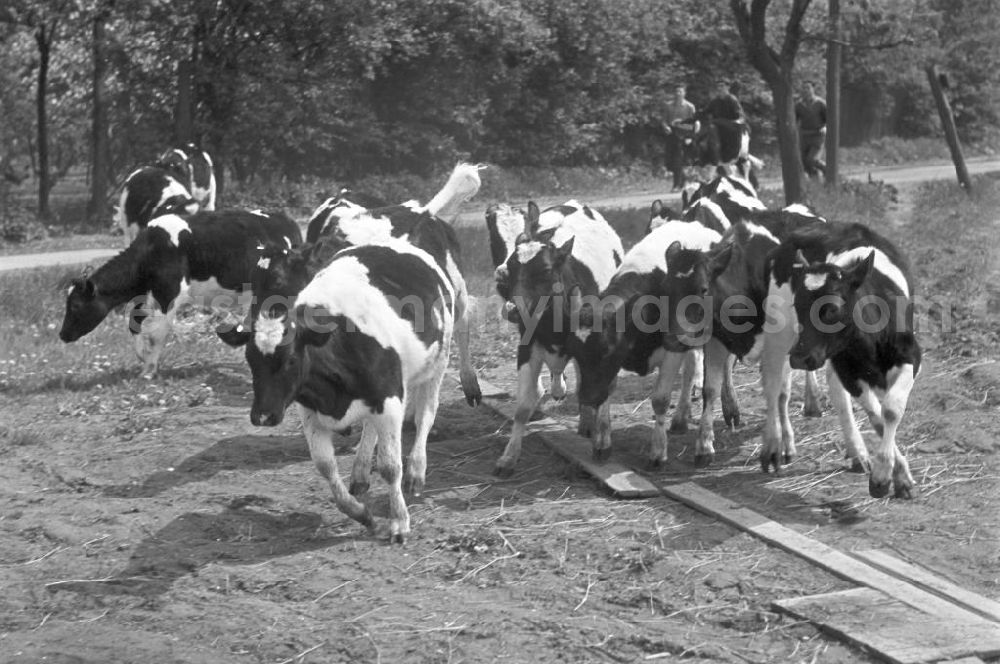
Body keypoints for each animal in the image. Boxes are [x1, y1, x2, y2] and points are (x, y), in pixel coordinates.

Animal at [59, 209, 298, 374]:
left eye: (75, 305)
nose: (62, 334)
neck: (153, 248)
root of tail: (286, 219)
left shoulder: (170, 293)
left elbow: (157, 332)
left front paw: (149, 370)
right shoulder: (147, 293)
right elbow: (135, 323)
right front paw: (142, 357)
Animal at [236, 239, 456, 544]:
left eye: (290, 359)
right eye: (250, 360)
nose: (263, 416)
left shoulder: (389, 399)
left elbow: (390, 467)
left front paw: (399, 521)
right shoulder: (311, 411)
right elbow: (325, 466)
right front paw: (362, 515)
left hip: (437, 362)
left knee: (426, 415)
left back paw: (416, 469)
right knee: (371, 429)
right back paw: (361, 472)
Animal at [494, 200, 624, 474]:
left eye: (545, 270)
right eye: (511, 267)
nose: (512, 309)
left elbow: (605, 388)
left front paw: (602, 442)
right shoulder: (527, 346)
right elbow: (522, 407)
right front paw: (509, 456)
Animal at [568, 219, 740, 466]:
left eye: (606, 351)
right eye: (576, 353)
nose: (587, 398)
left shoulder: (671, 350)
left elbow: (660, 399)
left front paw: (658, 452)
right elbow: (608, 389)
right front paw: (602, 443)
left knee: (719, 373)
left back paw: (726, 415)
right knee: (690, 371)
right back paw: (680, 418)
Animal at [768, 223, 924, 498]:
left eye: (831, 308)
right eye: (797, 305)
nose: (799, 357)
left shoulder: (911, 356)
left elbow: (890, 410)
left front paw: (893, 475)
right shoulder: (848, 370)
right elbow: (877, 417)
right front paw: (887, 476)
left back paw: (856, 453)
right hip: (785, 335)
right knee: (784, 387)